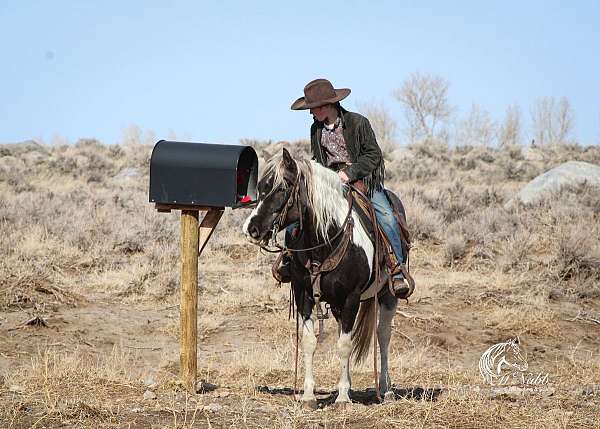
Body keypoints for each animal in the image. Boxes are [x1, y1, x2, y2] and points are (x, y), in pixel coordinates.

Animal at [241, 149, 400, 406]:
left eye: (282, 188)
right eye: (261, 188)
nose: (250, 228)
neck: (325, 240)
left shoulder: (352, 298)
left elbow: (345, 345)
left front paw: (343, 398)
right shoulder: (304, 294)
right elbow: (310, 342)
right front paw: (309, 396)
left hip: (387, 295)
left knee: (383, 335)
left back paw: (385, 389)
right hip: (336, 304)